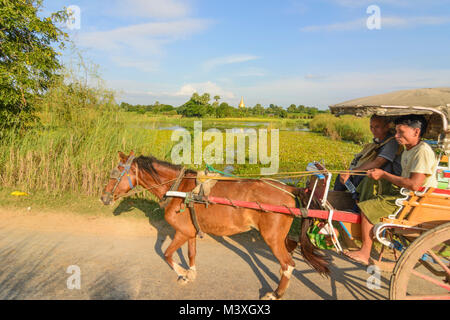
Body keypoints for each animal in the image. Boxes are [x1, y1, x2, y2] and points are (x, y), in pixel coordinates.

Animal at [102, 151, 330, 298]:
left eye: (115, 173)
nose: (103, 197)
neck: (179, 189)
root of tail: (289, 189)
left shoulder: (181, 232)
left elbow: (166, 254)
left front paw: (182, 273)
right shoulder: (190, 232)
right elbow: (191, 253)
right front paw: (191, 273)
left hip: (272, 238)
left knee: (288, 265)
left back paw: (276, 293)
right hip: (279, 237)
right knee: (289, 254)